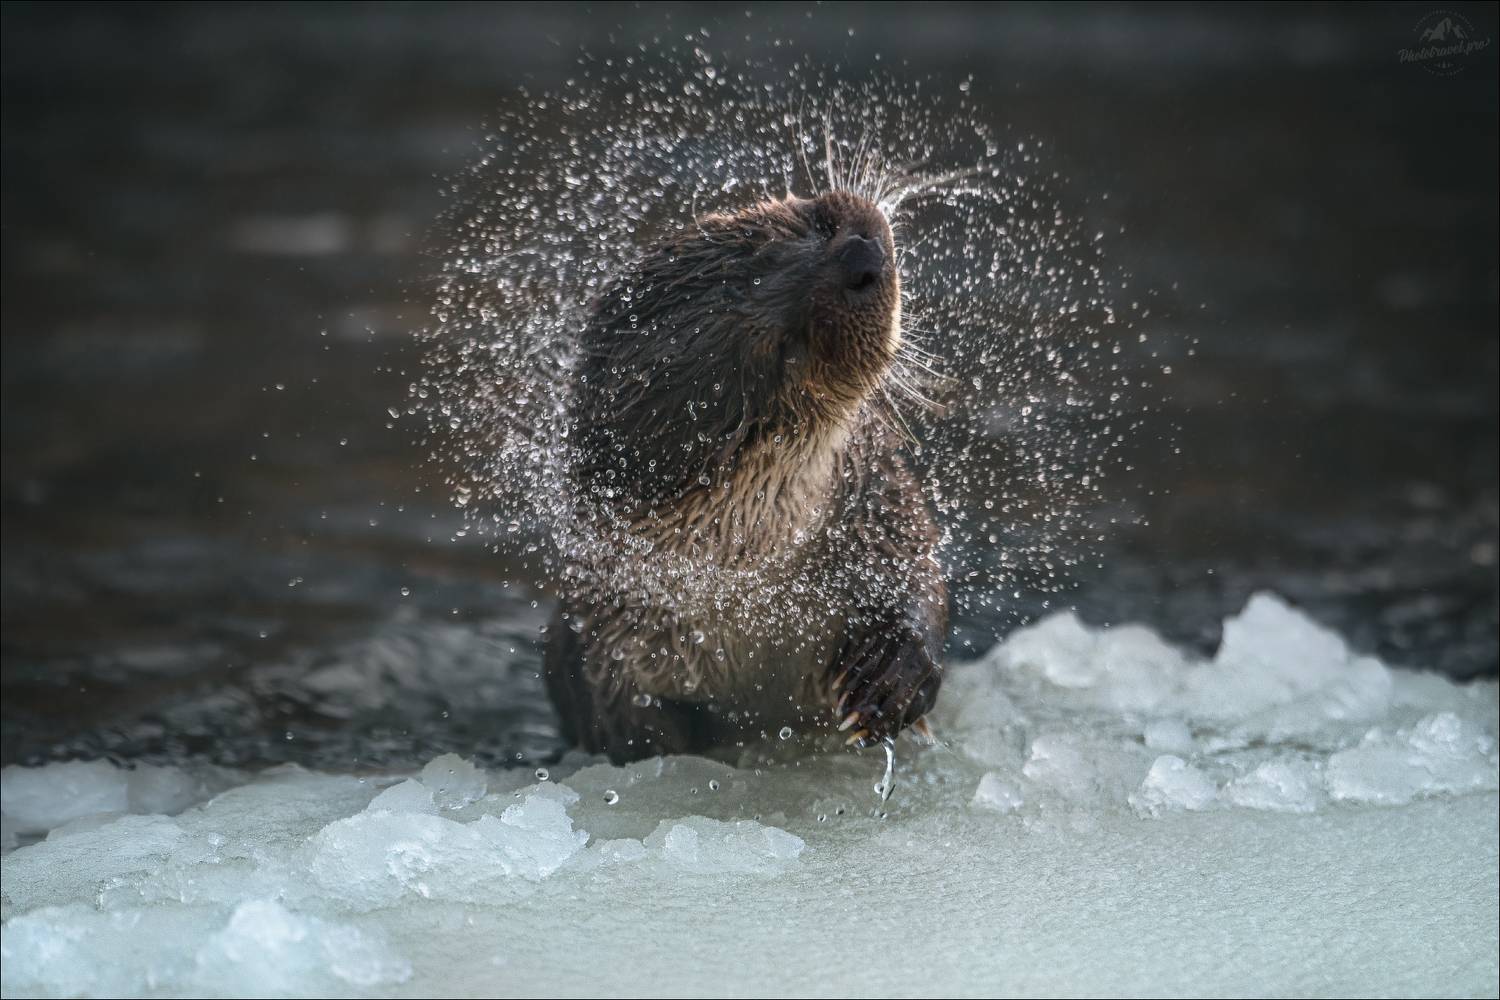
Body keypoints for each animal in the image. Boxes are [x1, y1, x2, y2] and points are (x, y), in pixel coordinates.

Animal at [544, 190, 946, 762]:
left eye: (782, 237)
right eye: (784, 348)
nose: (862, 257)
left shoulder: (876, 500)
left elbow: (920, 581)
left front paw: (892, 682)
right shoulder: (609, 635)